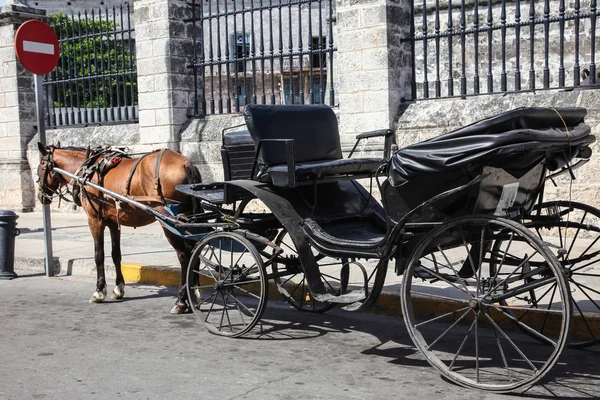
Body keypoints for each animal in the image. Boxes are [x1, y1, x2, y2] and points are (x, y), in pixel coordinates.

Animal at [37, 142, 202, 314]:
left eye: (42, 164)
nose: (41, 196)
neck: (87, 169)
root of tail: (186, 164)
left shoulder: (94, 221)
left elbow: (99, 255)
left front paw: (99, 291)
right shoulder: (113, 222)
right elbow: (116, 254)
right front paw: (118, 288)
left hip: (168, 221)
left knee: (184, 256)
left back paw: (181, 301)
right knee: (196, 249)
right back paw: (194, 295)